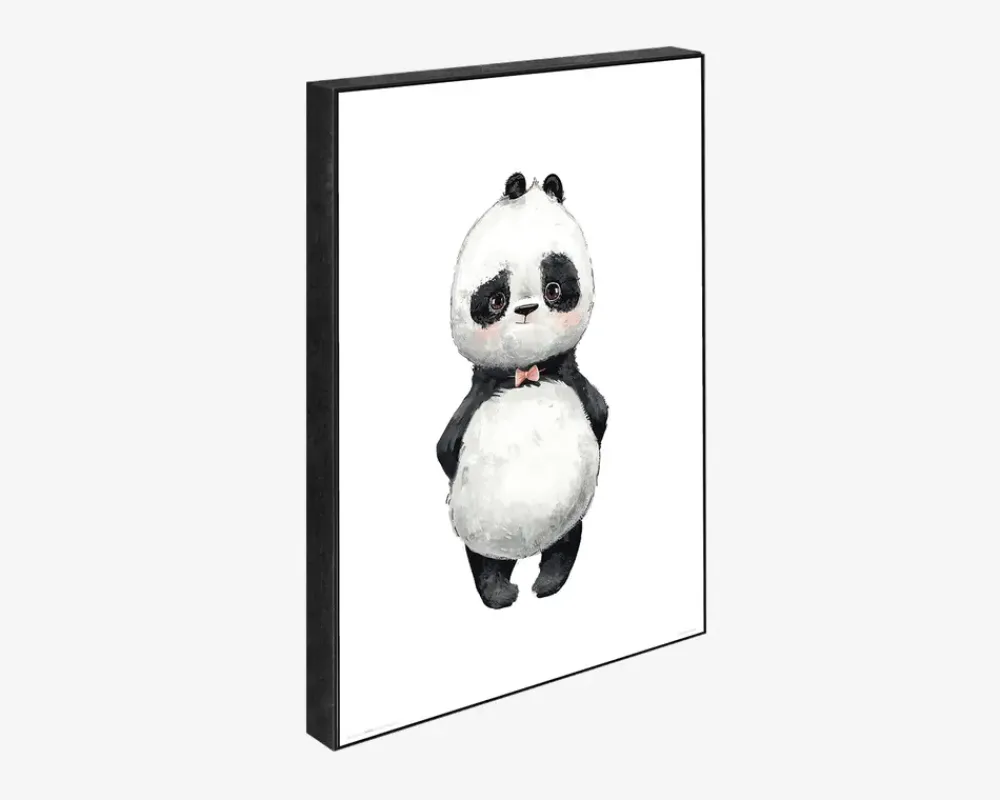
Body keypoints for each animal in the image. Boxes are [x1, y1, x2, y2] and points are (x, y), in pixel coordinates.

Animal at [436, 172, 608, 609]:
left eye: (554, 289)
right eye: (496, 299)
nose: (527, 309)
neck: (527, 375)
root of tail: (527, 550)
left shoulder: (573, 381)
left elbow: (599, 414)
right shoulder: (476, 400)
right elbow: (445, 451)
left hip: (573, 511)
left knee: (568, 540)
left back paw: (548, 581)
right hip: (481, 531)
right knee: (484, 562)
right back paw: (500, 592)